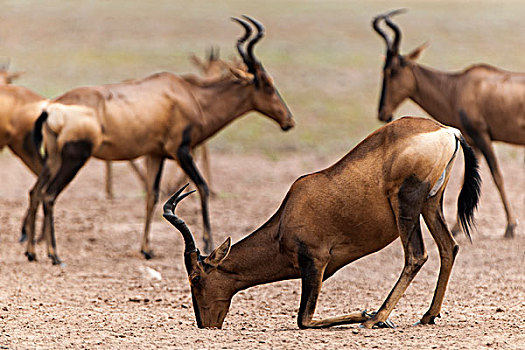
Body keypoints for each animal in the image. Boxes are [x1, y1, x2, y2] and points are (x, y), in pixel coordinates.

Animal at [21, 15, 294, 264]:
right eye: (267, 83)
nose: (288, 121)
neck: (188, 95)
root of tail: (52, 107)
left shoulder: (155, 154)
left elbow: (151, 196)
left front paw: (146, 250)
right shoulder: (181, 150)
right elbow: (203, 187)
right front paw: (208, 242)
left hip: (54, 158)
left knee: (36, 192)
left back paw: (32, 252)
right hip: (75, 157)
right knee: (49, 195)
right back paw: (55, 255)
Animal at [163, 117, 478, 328]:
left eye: (195, 277)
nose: (205, 325)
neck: (286, 218)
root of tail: (446, 130)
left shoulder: (315, 262)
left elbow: (304, 319)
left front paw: (365, 314)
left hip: (408, 204)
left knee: (416, 255)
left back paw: (376, 318)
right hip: (431, 203)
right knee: (449, 247)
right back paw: (427, 316)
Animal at [370, 9, 520, 238]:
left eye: (392, 71)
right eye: (383, 69)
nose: (383, 113)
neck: (459, 87)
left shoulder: (483, 136)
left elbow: (497, 177)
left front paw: (510, 227)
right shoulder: (473, 142)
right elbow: (468, 180)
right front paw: (457, 227)